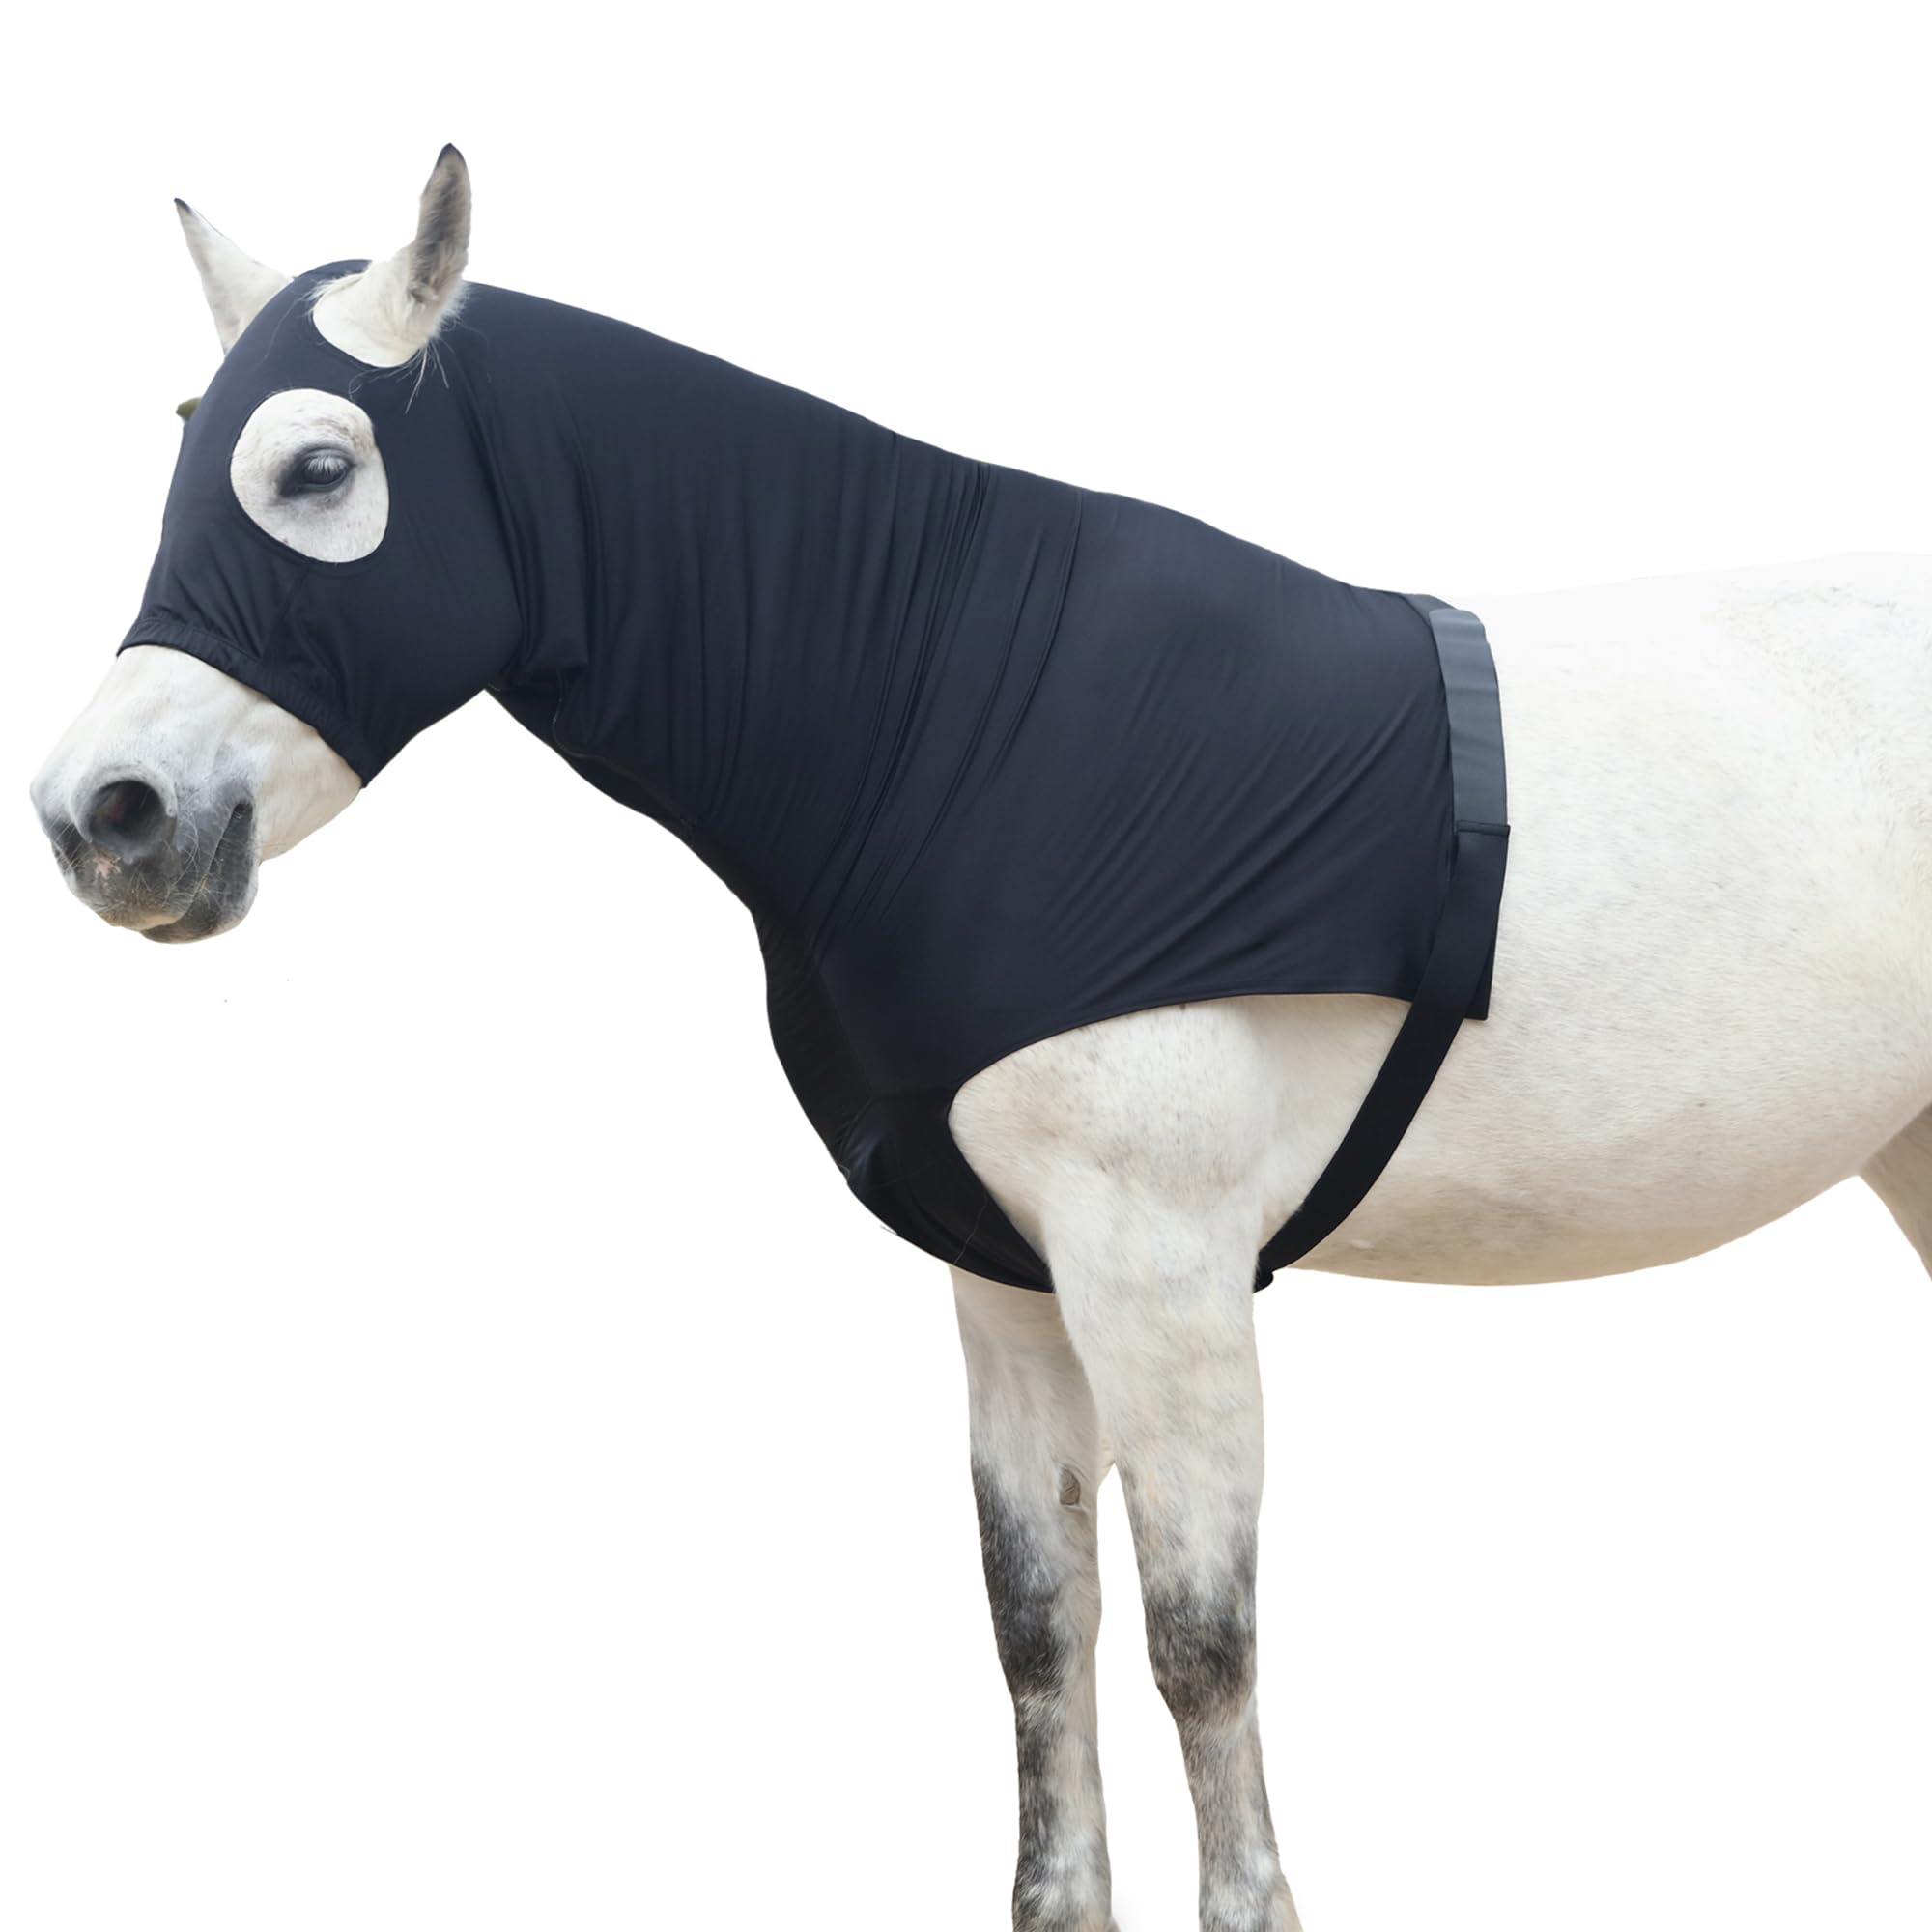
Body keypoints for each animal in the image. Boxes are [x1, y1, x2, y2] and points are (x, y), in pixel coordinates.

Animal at [28, 148, 1932, 1932]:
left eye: (315, 472)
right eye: (186, 445)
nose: (102, 819)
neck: (961, 721)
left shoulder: (1162, 1271)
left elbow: (1198, 1642)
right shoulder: (1006, 1279)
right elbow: (1040, 1623)